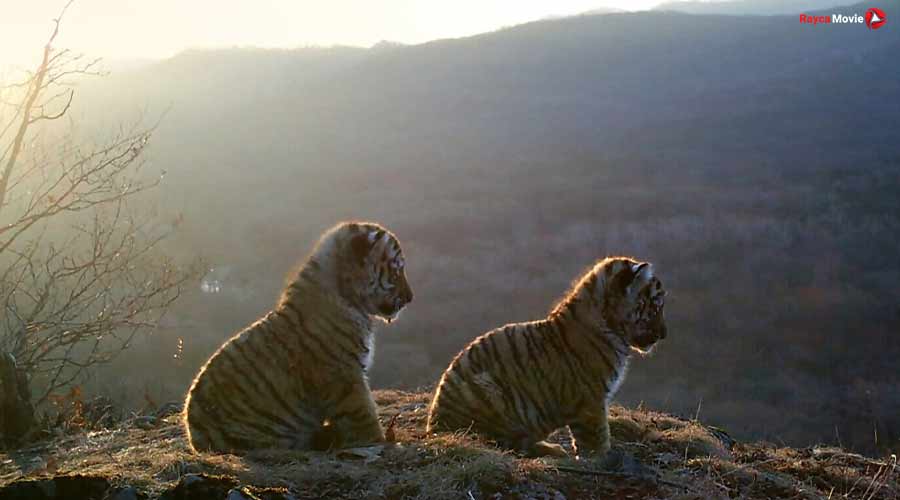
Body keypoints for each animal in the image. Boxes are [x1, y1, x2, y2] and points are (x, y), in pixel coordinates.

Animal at [184, 221, 414, 454]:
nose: (410, 298)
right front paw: (379, 440)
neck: (346, 293)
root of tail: (195, 439)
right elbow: (362, 412)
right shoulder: (344, 374)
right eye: (396, 271)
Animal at [426, 256, 667, 459]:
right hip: (488, 390)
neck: (609, 323)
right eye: (655, 306)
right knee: (500, 442)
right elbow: (596, 436)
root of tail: (434, 427)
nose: (664, 334)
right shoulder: (591, 398)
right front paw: (601, 458)